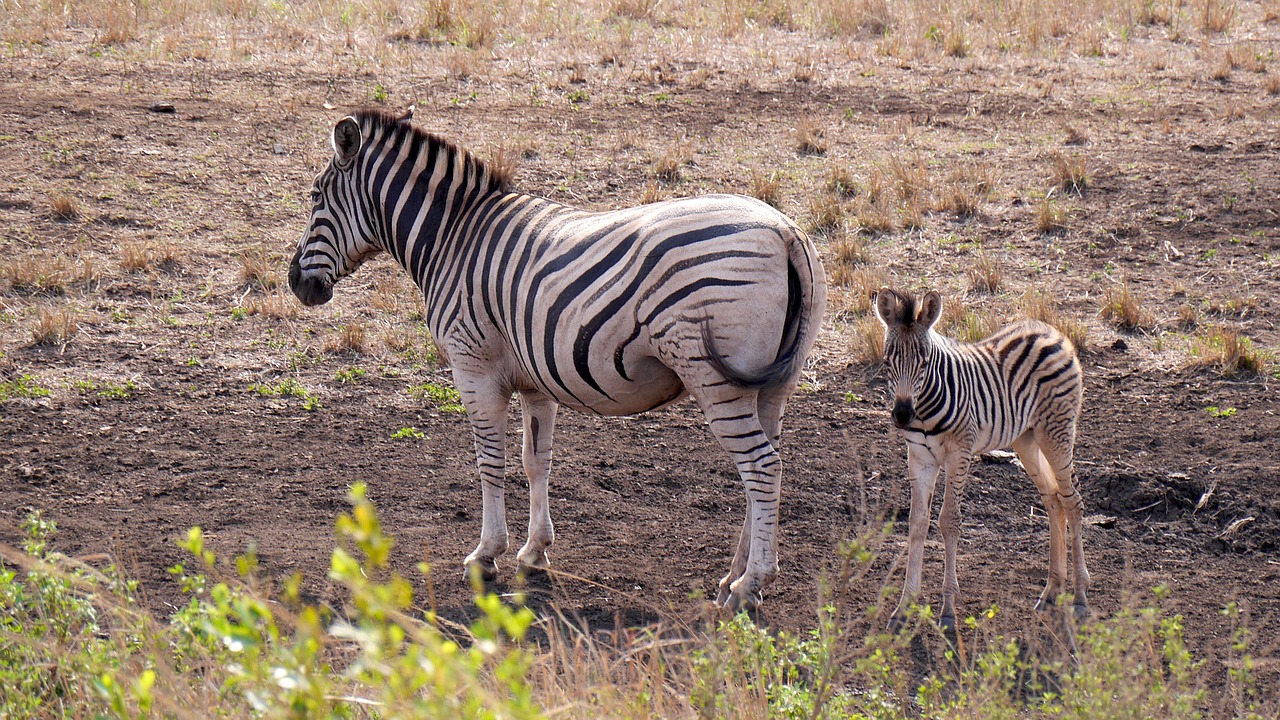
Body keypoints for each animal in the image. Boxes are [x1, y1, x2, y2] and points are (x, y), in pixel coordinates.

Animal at [290, 107, 829, 609]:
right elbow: (536, 461)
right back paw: (732, 577)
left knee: (761, 467)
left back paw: (751, 585)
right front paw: (534, 552)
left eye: (315, 197)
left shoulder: (473, 367)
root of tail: (784, 231)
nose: (298, 284)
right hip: (774, 385)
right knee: (765, 468)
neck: (454, 238)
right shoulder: (535, 379)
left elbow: (490, 460)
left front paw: (486, 555)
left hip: (717, 380)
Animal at [875, 286, 1095, 627]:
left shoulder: (959, 452)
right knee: (1053, 501)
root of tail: (1051, 330)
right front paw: (904, 606)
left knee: (1072, 502)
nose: (901, 415)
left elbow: (949, 520)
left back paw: (1080, 596)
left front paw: (948, 609)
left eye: (924, 362)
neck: (923, 411)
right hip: (1026, 439)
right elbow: (917, 523)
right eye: (888, 362)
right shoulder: (919, 456)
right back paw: (1051, 591)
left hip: (1056, 432)